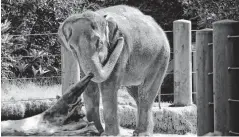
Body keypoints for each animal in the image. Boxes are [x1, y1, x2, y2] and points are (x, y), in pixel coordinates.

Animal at [58, 4, 170, 136]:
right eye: (71, 47)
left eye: (99, 43)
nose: (96, 130)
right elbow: (90, 88)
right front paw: (97, 131)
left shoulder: (121, 50)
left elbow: (109, 86)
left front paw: (108, 134)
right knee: (135, 93)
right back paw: (139, 132)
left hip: (160, 58)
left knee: (145, 93)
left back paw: (142, 133)